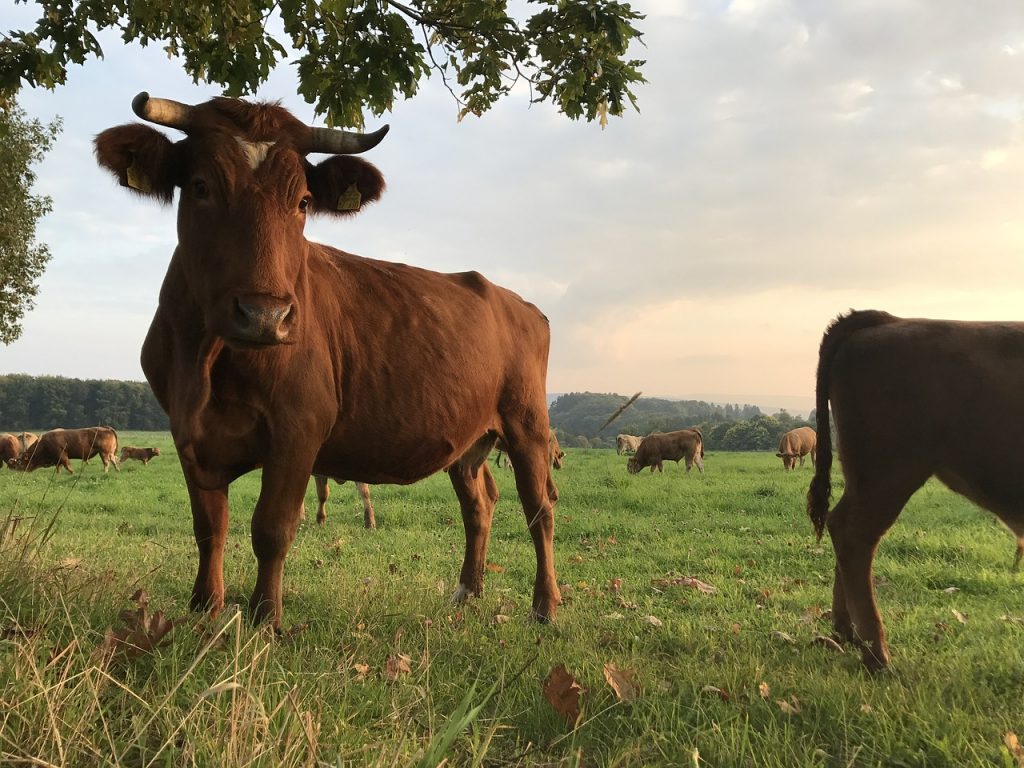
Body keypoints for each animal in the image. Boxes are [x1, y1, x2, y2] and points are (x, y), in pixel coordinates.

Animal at [95, 91, 561, 630]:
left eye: (302, 201)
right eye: (200, 186)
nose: (265, 315)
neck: (205, 362)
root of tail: (515, 301)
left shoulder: (300, 426)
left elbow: (272, 527)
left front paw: (266, 619)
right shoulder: (186, 431)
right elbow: (209, 526)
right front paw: (205, 608)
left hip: (527, 424)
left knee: (539, 509)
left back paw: (545, 605)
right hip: (470, 439)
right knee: (479, 502)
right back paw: (468, 591)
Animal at [806, 309, 1024, 671]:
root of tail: (890, 319)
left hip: (865, 478)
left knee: (841, 525)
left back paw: (847, 632)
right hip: (889, 474)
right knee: (854, 535)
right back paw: (876, 653)